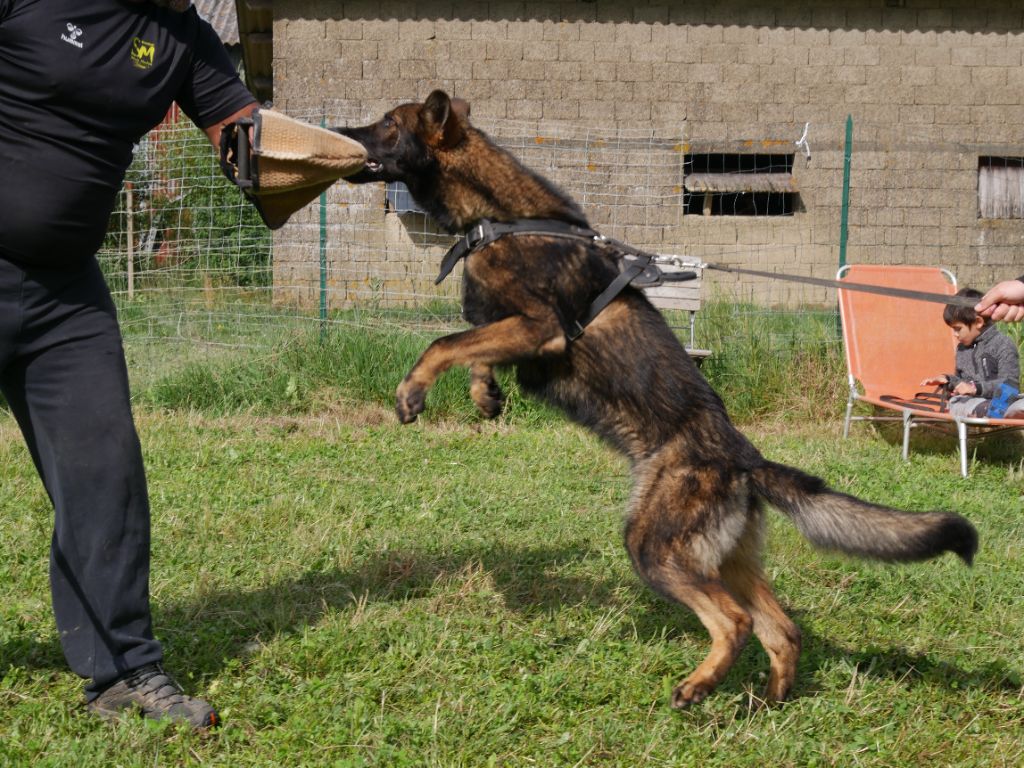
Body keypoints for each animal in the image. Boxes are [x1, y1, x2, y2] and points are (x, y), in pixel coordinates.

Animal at [335, 93, 974, 712]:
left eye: (388, 124)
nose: (341, 132)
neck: (500, 216)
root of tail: (745, 460)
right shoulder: (510, 329)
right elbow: (473, 346)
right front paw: (484, 393)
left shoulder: (540, 328)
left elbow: (444, 341)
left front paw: (413, 391)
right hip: (722, 558)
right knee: (782, 629)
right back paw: (766, 705)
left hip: (653, 547)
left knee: (736, 621)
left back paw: (699, 686)